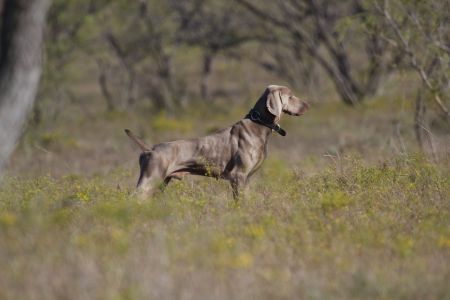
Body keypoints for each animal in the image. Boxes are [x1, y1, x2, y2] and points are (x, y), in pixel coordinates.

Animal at [126, 84, 310, 199]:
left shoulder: (247, 178)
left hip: (162, 182)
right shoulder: (238, 175)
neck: (259, 124)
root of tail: (149, 149)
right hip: (151, 178)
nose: (308, 106)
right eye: (291, 96)